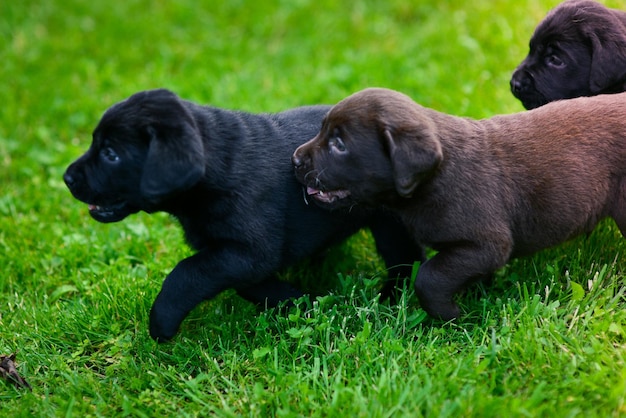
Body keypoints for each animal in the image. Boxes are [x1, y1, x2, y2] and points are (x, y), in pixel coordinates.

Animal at [66, 90, 420, 342]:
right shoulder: (236, 257)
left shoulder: (249, 251)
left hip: (392, 226)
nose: (67, 178)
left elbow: (185, 273)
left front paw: (162, 320)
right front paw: (296, 300)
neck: (214, 170)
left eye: (110, 154)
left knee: (404, 261)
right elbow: (248, 285)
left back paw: (390, 299)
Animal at [292, 86, 624, 318]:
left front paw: (450, 315)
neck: (437, 177)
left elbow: (429, 277)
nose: (294, 159)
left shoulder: (485, 245)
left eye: (339, 144)